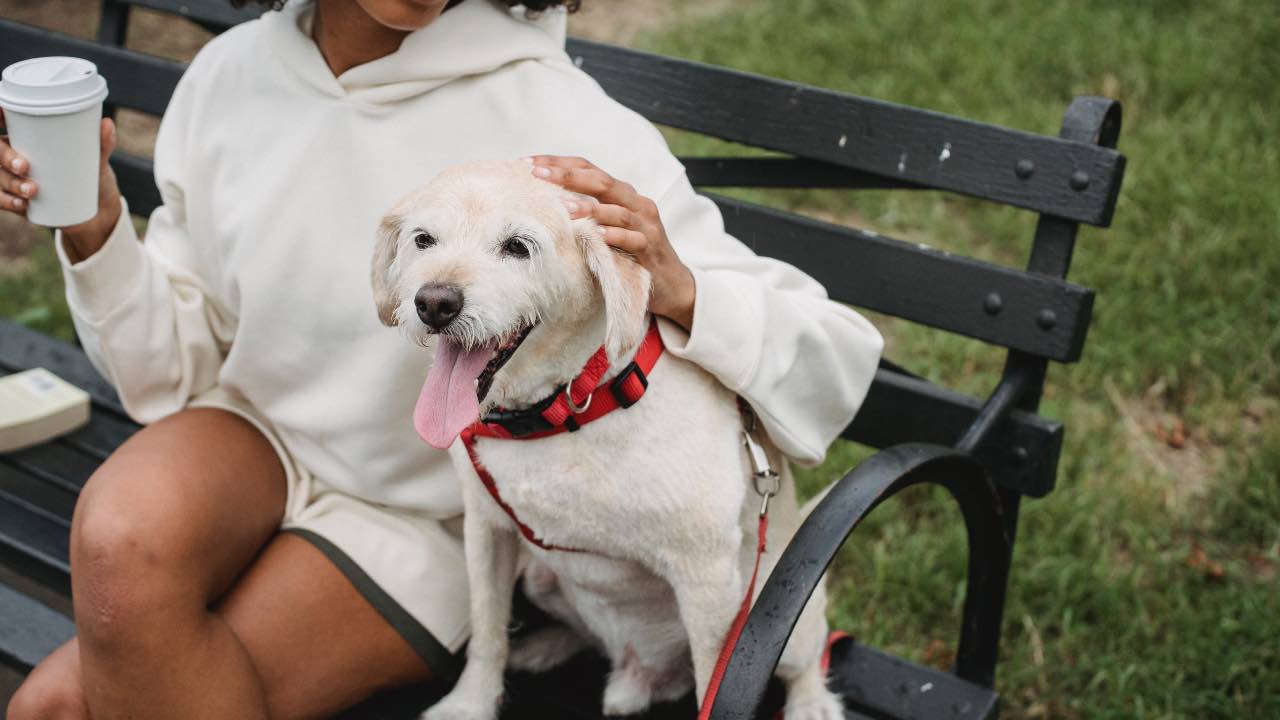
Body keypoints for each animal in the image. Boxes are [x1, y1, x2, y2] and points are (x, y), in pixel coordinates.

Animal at [373, 161, 844, 717]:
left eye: (518, 246)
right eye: (423, 239)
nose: (434, 302)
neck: (567, 408)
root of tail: (639, 673)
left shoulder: (707, 578)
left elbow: (714, 685)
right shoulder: (488, 530)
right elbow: (487, 631)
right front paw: (471, 703)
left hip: (781, 617)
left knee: (808, 660)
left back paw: (812, 704)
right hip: (538, 577)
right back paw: (547, 646)